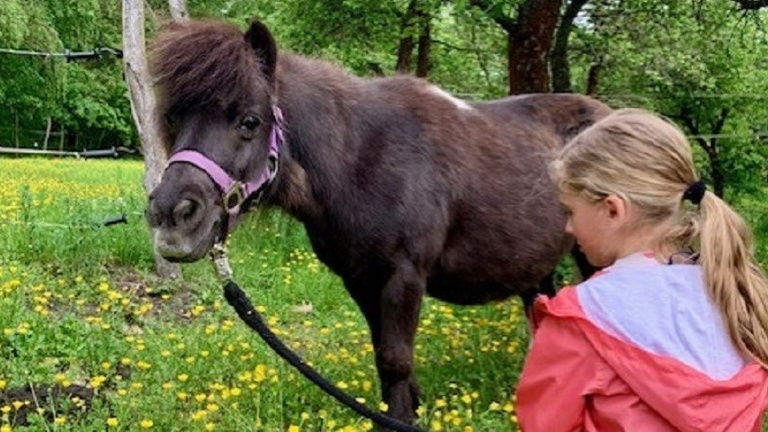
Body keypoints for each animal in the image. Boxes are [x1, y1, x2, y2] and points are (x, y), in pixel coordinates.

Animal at [144, 19, 612, 426]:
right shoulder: (361, 278)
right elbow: (383, 353)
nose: (170, 214)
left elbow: (395, 358)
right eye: (174, 119)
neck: (360, 160)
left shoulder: (403, 275)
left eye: (249, 121)